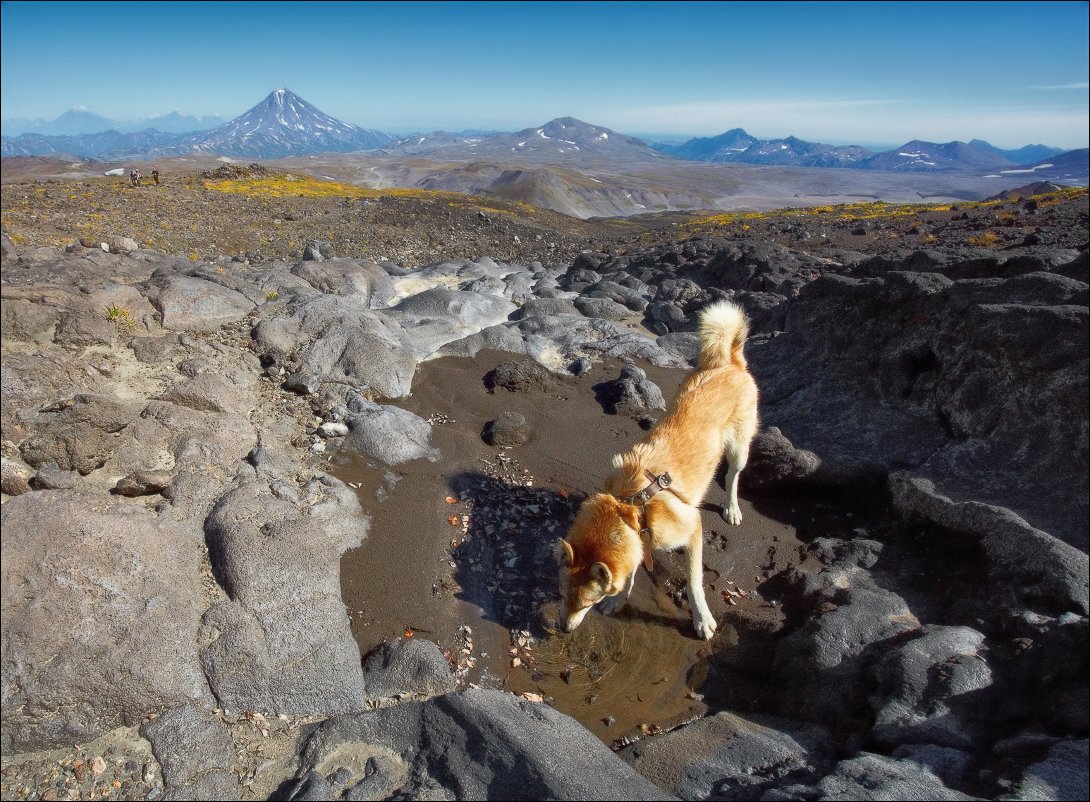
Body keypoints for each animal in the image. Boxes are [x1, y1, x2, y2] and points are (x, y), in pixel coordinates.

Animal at [553, 300, 758, 640]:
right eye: (561, 595)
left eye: (586, 603)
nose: (563, 629)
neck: (629, 505)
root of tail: (729, 363)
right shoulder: (639, 540)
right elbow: (632, 571)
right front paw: (619, 599)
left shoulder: (693, 528)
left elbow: (694, 583)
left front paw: (701, 618)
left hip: (739, 447)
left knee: (733, 476)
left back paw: (731, 507)